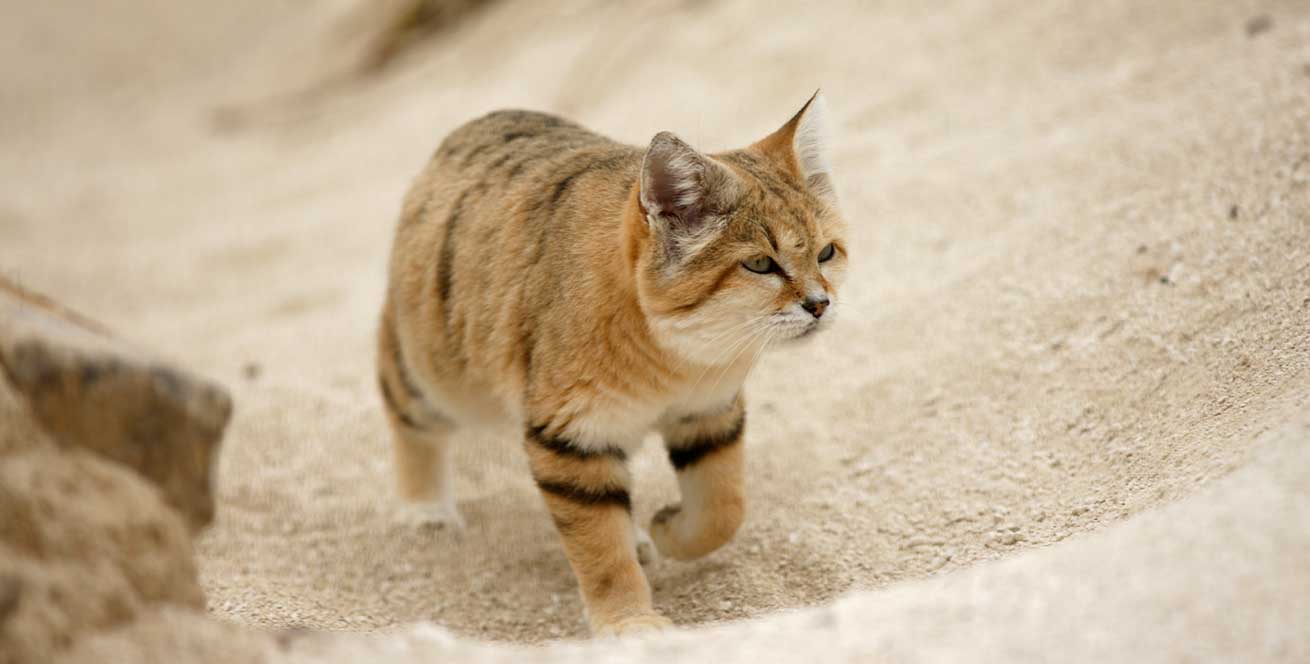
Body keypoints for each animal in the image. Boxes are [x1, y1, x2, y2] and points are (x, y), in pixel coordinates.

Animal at [379, 94, 848, 639]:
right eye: (759, 265)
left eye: (826, 253)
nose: (820, 304)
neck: (670, 358)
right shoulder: (571, 439)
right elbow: (601, 548)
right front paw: (630, 622)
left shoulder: (709, 412)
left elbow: (723, 508)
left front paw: (667, 529)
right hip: (431, 373)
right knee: (406, 415)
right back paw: (425, 508)